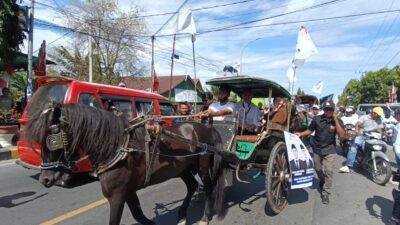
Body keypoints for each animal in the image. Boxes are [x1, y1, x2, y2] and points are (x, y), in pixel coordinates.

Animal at [25, 104, 228, 225]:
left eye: (53, 140)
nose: (45, 179)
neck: (115, 148)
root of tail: (207, 128)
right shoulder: (128, 190)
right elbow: (138, 214)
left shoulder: (117, 195)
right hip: (182, 169)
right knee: (192, 185)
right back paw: (182, 215)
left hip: (202, 167)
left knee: (208, 187)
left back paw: (205, 216)